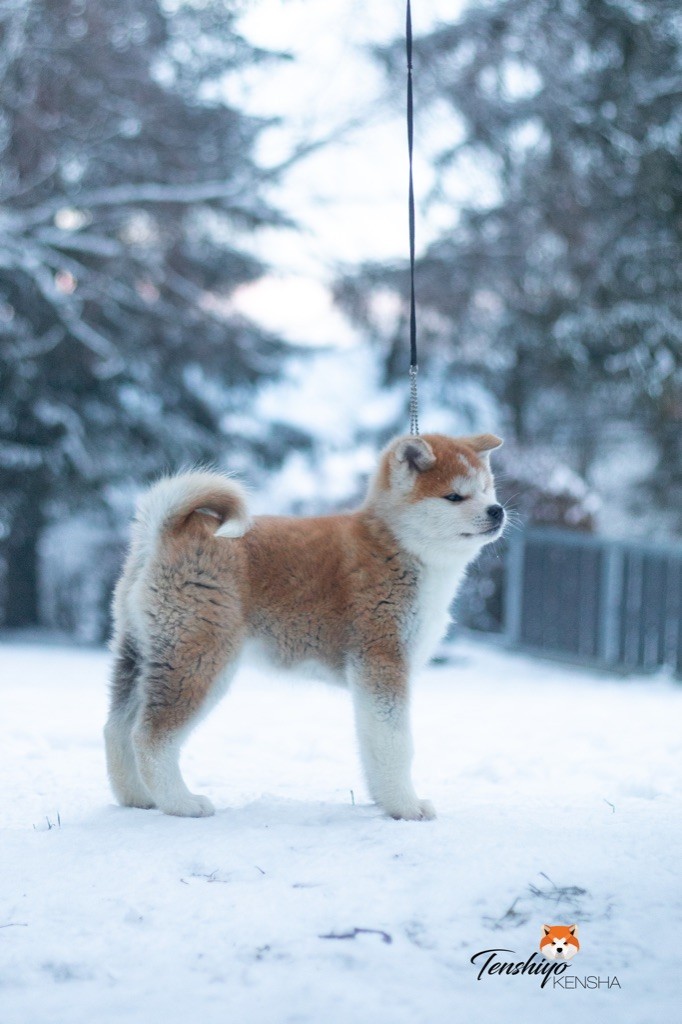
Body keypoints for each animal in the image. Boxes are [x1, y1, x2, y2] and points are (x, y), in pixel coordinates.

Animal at [103, 434, 501, 823]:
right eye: (454, 496)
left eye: (487, 489)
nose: (496, 510)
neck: (397, 545)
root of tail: (167, 532)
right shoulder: (382, 660)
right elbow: (395, 743)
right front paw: (406, 806)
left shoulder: (372, 676)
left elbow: (372, 742)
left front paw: (385, 801)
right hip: (199, 660)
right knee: (151, 736)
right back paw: (180, 803)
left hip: (140, 654)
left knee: (116, 729)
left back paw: (137, 798)